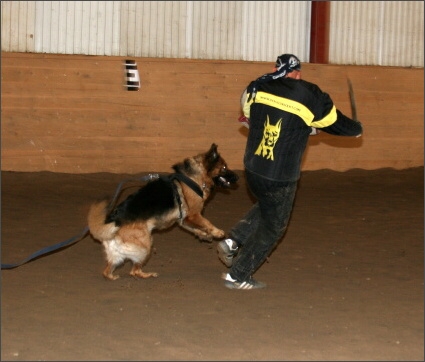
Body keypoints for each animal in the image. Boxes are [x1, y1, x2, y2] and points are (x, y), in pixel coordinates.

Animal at [86, 144, 238, 280]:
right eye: (224, 168)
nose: (237, 178)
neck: (195, 177)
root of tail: (113, 220)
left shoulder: (183, 219)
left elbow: (195, 228)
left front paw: (204, 235)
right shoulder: (193, 215)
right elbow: (206, 222)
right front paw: (217, 232)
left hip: (119, 256)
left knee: (107, 272)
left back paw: (113, 277)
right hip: (145, 245)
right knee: (134, 271)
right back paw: (148, 275)